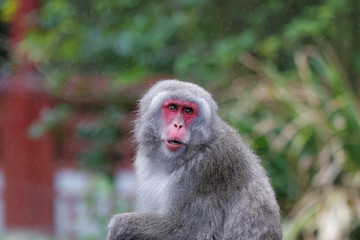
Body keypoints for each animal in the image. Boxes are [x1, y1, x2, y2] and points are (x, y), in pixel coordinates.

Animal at [108, 79, 282, 239]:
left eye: (188, 110)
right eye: (173, 107)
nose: (178, 125)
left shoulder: (206, 169)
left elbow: (188, 230)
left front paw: (120, 227)